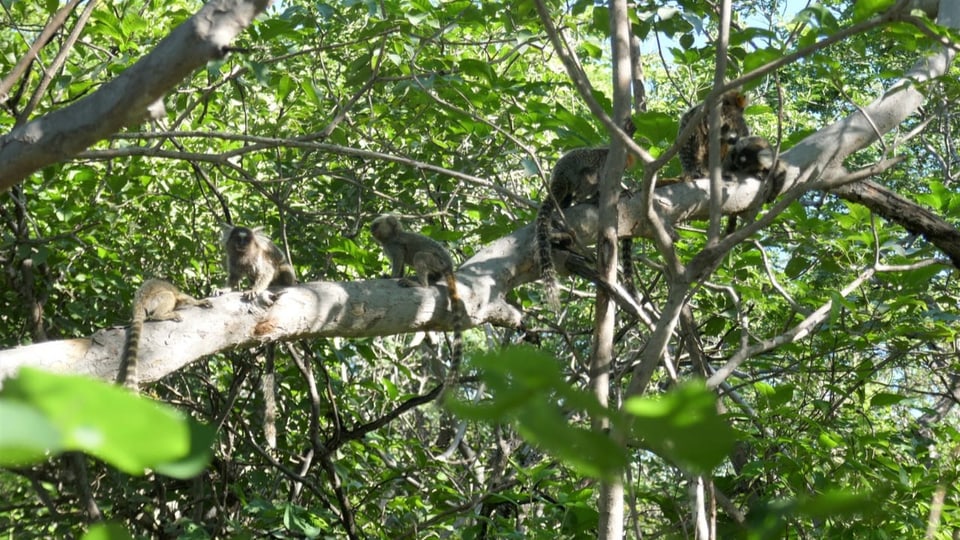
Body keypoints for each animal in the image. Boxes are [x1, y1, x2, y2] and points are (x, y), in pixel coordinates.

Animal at [370, 213, 466, 386]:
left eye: (376, 225)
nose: (370, 228)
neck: (392, 236)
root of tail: (449, 266)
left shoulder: (394, 246)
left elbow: (399, 262)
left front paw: (392, 276)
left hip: (436, 262)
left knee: (420, 256)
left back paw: (420, 284)